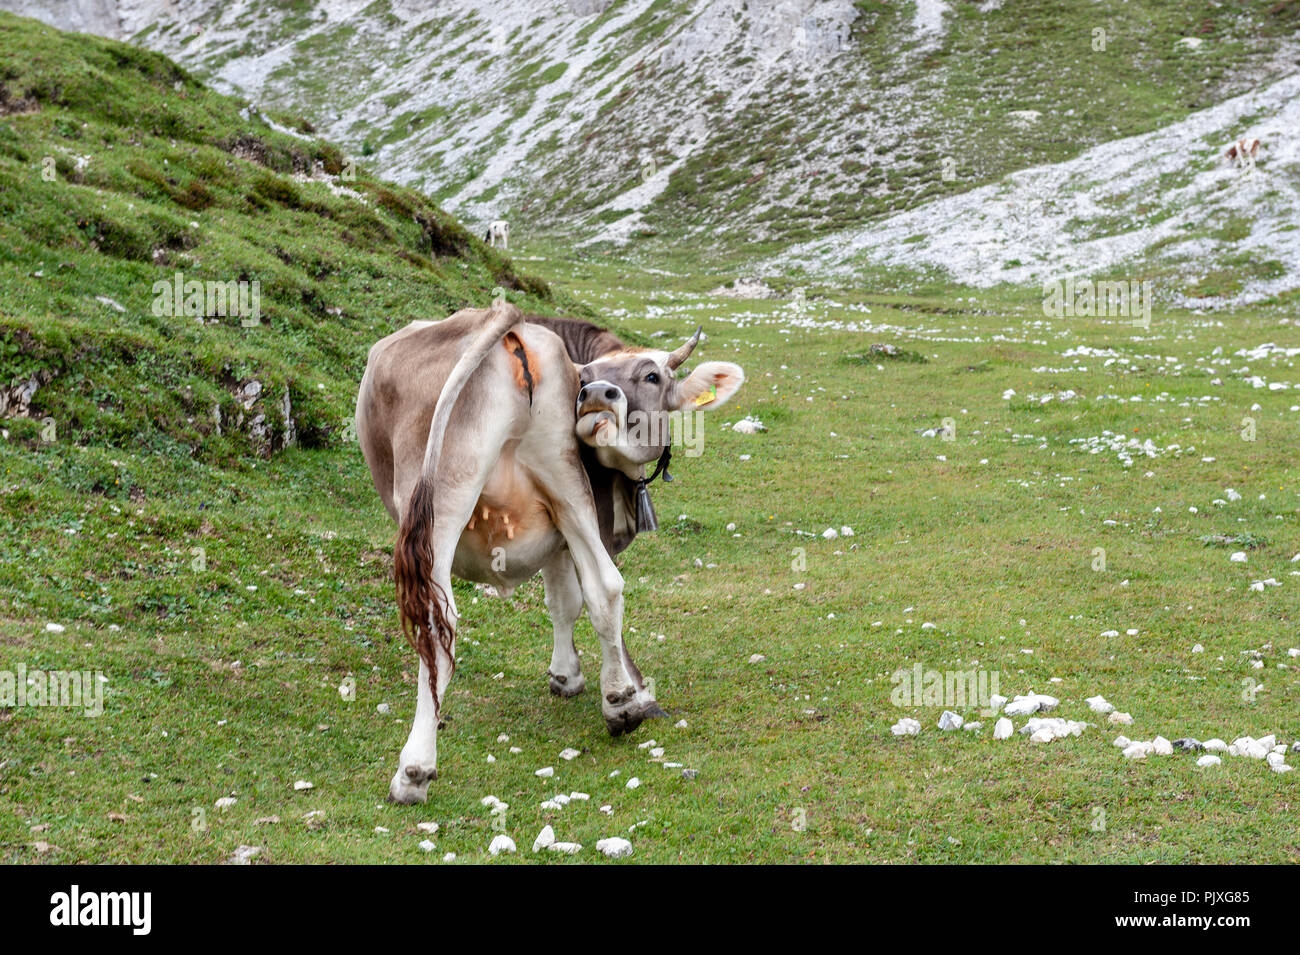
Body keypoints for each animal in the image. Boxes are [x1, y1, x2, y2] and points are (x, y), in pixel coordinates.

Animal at [356, 302, 748, 805]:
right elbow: (570, 598)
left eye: (652, 375)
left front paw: (574, 676)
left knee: (435, 621)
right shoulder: (576, 521)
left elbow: (563, 599)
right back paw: (621, 704)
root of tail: (505, 320)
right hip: (561, 478)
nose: (596, 395)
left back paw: (414, 770)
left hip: (442, 495)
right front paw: (605, 685)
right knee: (605, 587)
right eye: (589, 378)